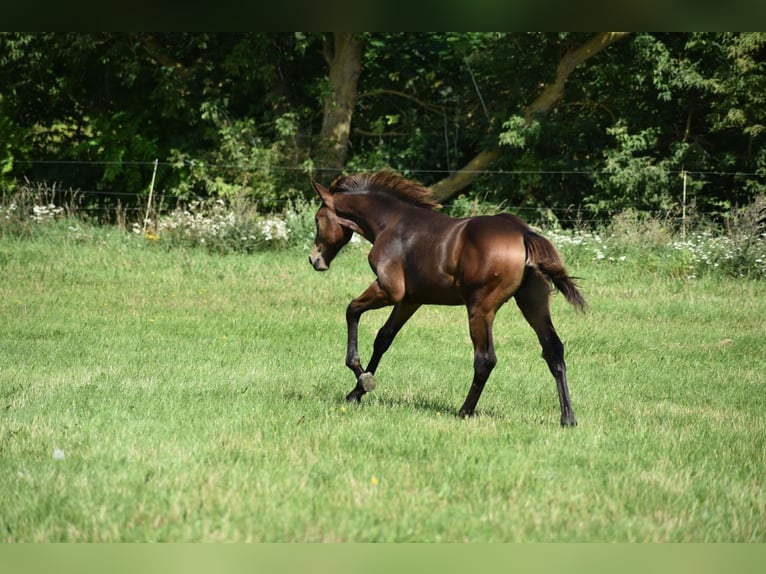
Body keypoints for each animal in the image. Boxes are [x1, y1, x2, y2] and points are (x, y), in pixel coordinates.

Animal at [308, 170, 586, 426]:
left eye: (317, 219)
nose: (314, 260)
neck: (390, 223)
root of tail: (523, 233)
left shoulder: (389, 290)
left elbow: (352, 310)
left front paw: (362, 378)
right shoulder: (410, 300)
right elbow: (384, 338)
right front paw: (356, 392)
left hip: (480, 309)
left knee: (485, 359)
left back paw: (464, 411)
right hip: (533, 303)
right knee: (553, 350)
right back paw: (568, 418)